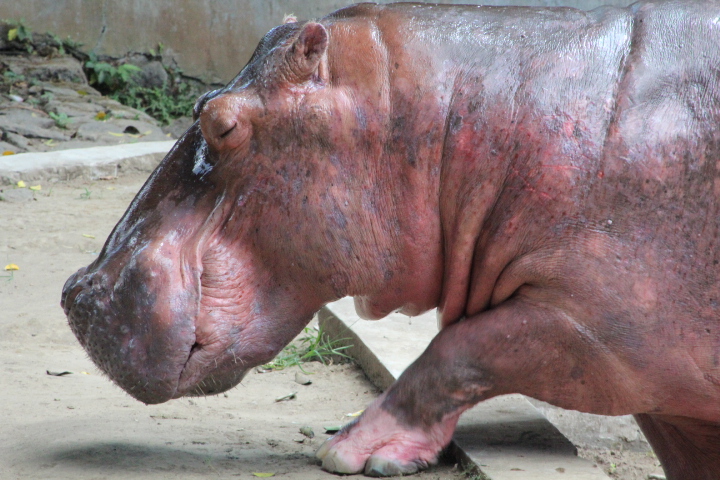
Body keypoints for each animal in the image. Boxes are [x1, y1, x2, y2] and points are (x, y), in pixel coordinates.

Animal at [61, 1, 720, 478]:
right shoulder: (669, 398)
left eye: (221, 123)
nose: (76, 291)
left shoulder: (606, 332)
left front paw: (351, 451)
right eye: (199, 102)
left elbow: (465, 348)